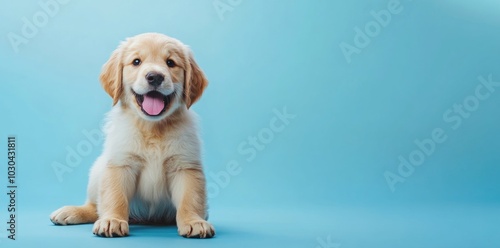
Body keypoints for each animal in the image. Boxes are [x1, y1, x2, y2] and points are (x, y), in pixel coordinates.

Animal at [49, 33, 214, 238]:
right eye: (136, 61)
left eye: (170, 63)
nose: (155, 77)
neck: (152, 127)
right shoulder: (120, 163)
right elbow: (115, 196)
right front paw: (112, 220)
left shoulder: (186, 166)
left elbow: (189, 198)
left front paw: (194, 221)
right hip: (97, 170)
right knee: (96, 207)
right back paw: (72, 211)